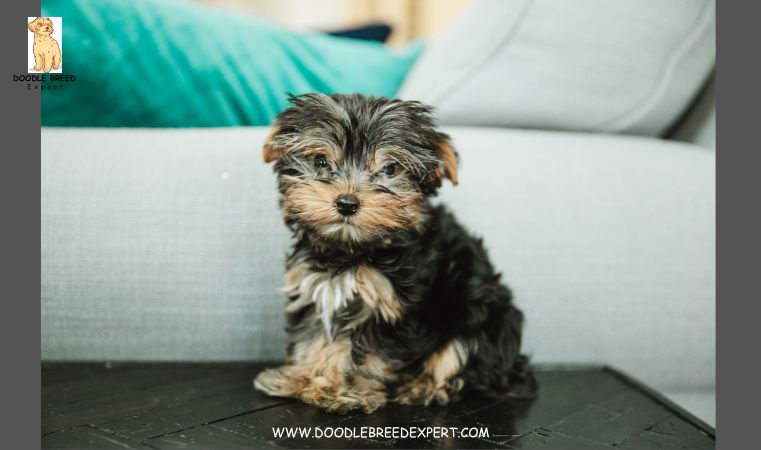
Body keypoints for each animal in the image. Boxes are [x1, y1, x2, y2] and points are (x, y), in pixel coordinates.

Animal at [255, 93, 536, 414]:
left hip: (479, 318)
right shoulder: (315, 287)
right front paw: (303, 377)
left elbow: (364, 350)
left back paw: (420, 388)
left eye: (390, 169)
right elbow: (312, 335)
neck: (352, 251)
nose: (347, 203)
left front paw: (343, 389)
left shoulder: (390, 304)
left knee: (460, 363)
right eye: (320, 161)